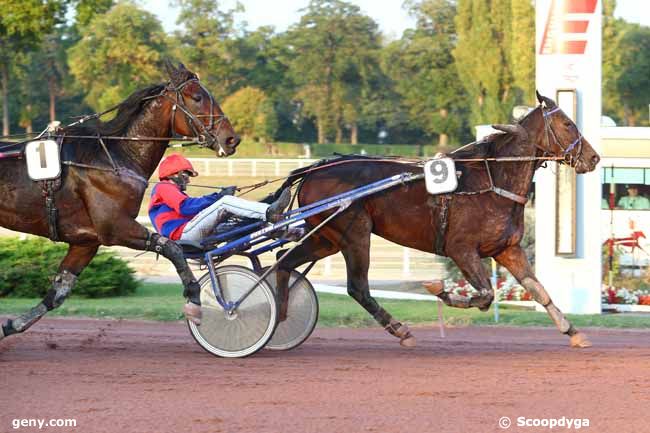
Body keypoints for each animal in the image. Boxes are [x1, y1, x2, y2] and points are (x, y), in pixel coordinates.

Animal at [0, 62, 238, 340]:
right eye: (197, 97)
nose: (231, 139)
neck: (115, 157)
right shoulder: (115, 228)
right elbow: (171, 247)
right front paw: (193, 299)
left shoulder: (85, 241)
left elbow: (58, 292)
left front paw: (10, 325)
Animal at [272, 92, 596, 348]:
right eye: (568, 123)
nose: (593, 158)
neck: (492, 182)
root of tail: (312, 171)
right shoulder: (461, 249)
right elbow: (485, 295)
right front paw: (439, 289)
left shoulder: (507, 249)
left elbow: (538, 290)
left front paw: (573, 331)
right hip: (354, 234)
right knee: (357, 287)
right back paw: (400, 330)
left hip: (325, 237)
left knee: (283, 262)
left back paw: (279, 318)